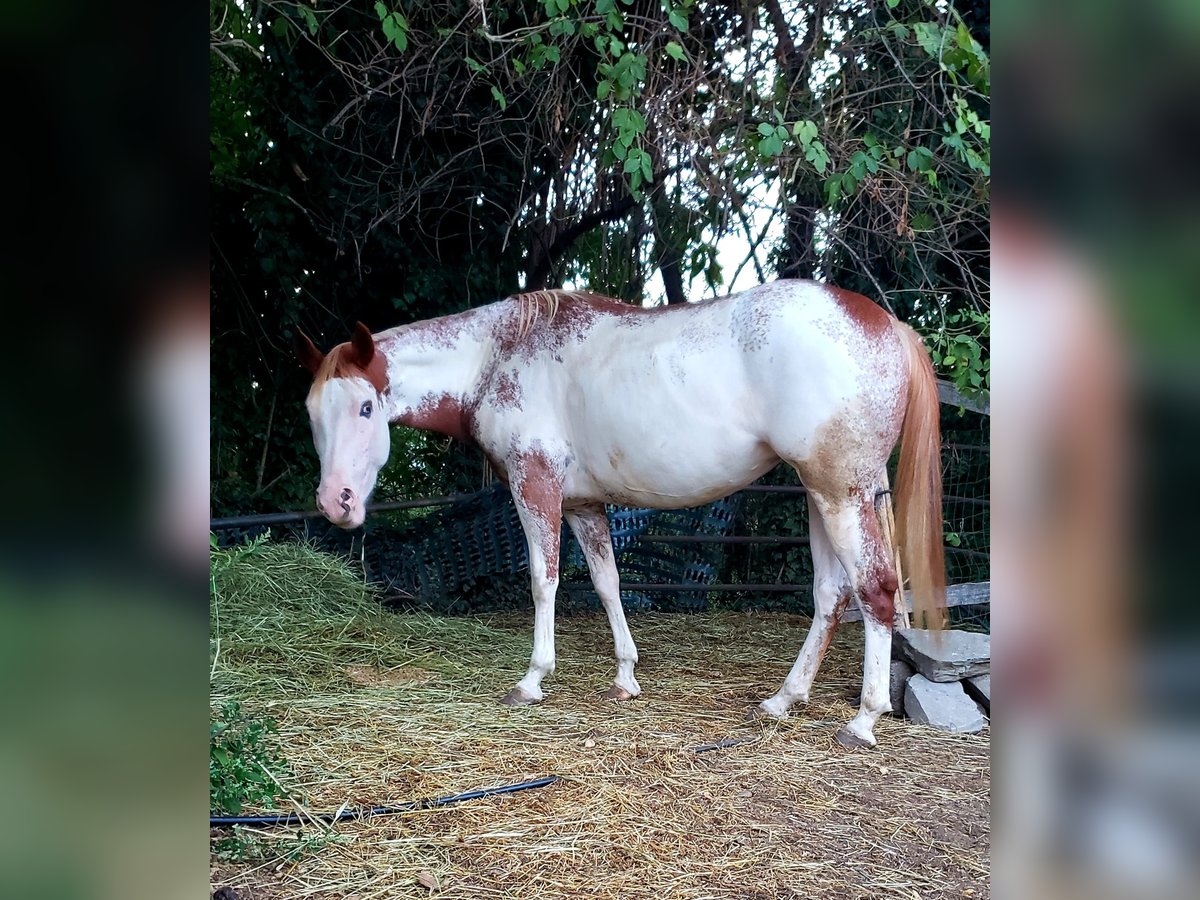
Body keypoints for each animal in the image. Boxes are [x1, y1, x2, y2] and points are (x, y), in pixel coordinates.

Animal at [295, 280, 940, 748]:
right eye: (311, 413)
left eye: (366, 407)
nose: (334, 503)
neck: (497, 356)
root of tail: (886, 324)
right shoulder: (584, 504)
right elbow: (607, 583)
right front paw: (626, 677)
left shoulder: (536, 487)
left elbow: (544, 580)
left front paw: (533, 680)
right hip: (819, 495)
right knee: (831, 594)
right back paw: (783, 700)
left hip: (841, 494)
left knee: (875, 591)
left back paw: (863, 720)